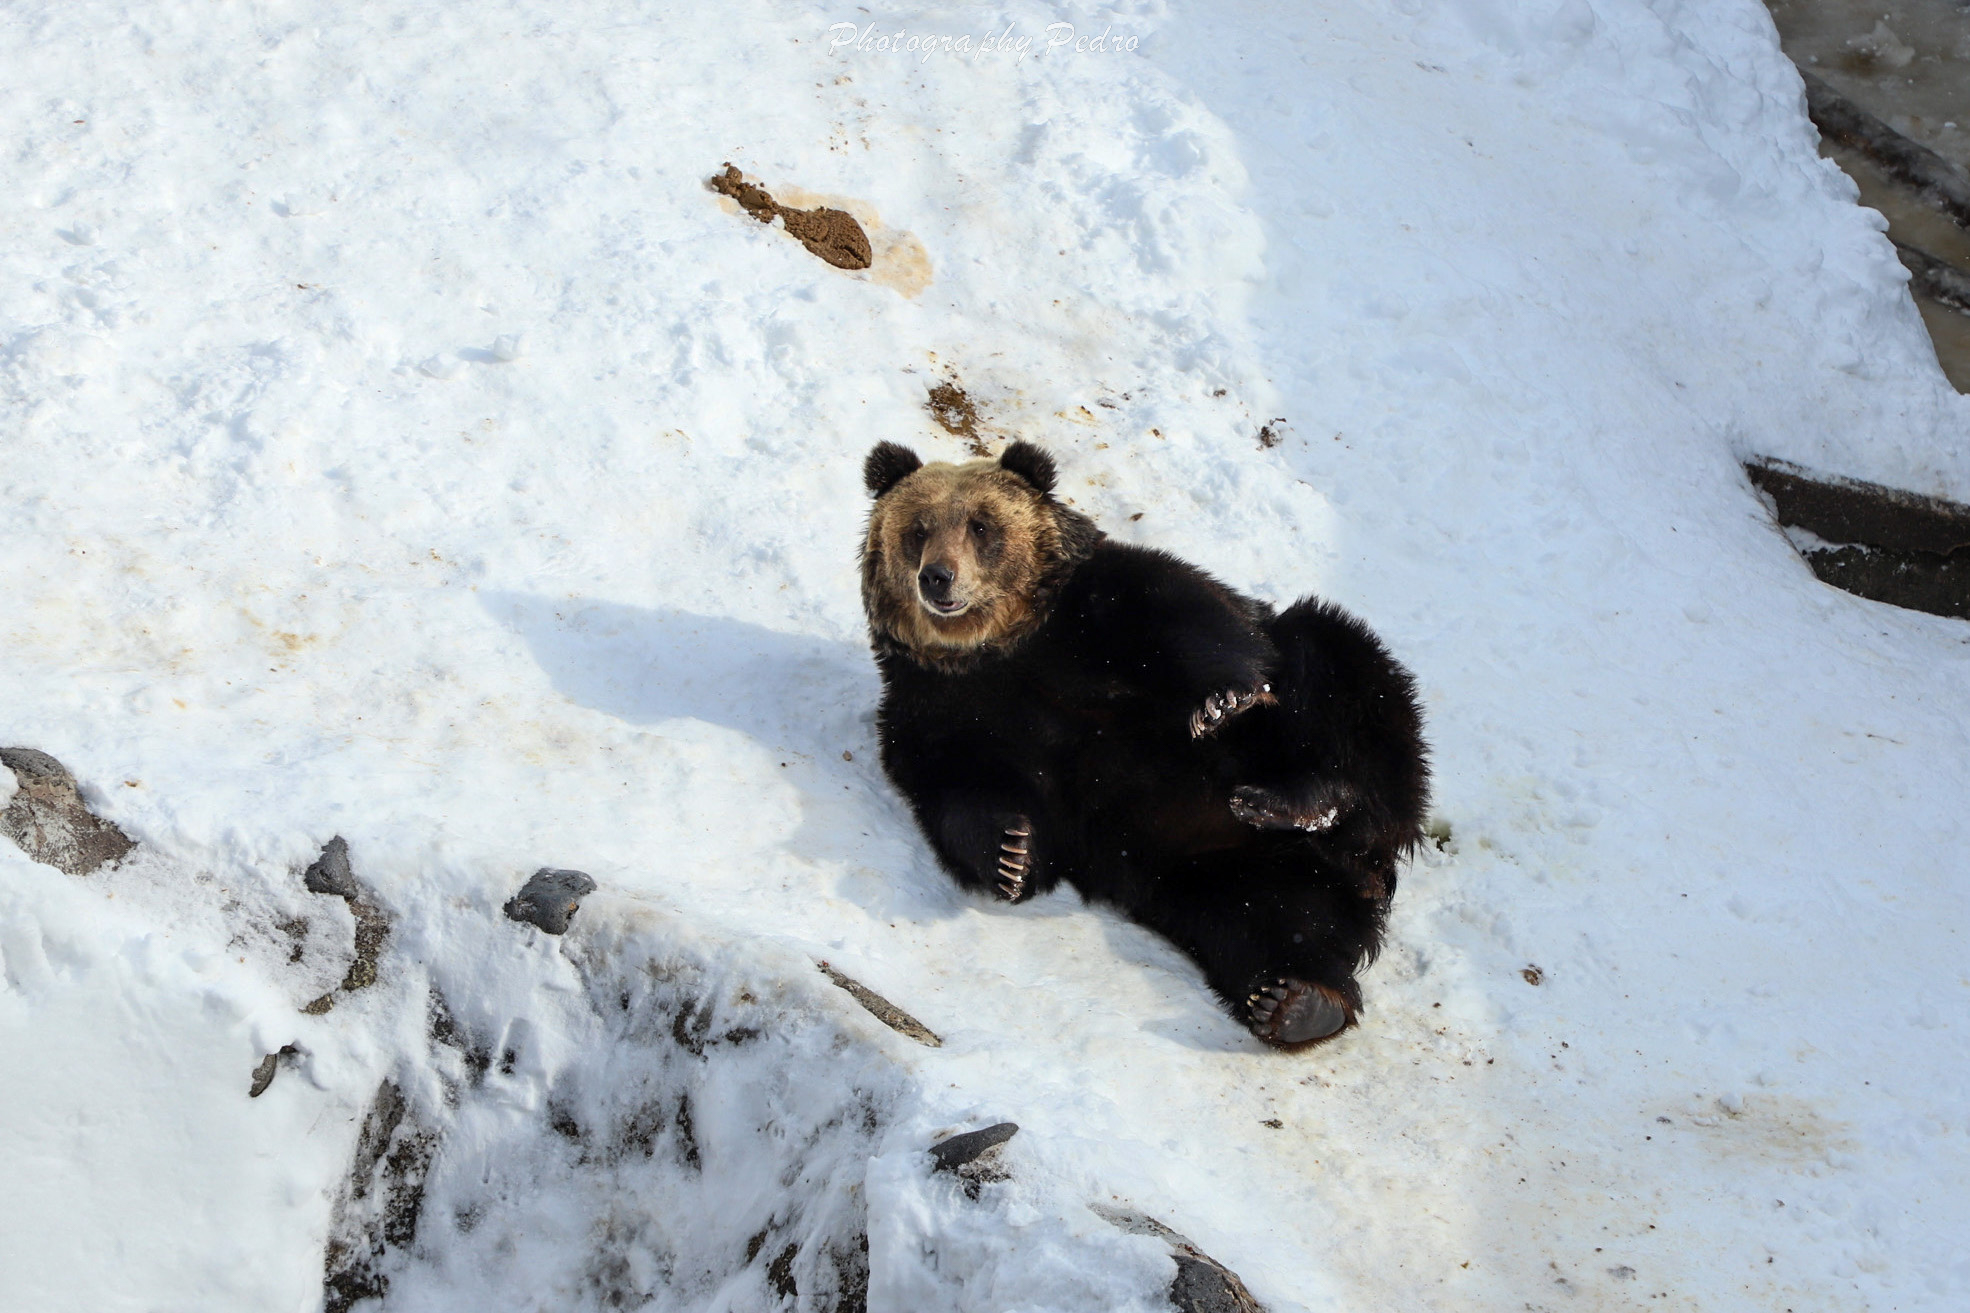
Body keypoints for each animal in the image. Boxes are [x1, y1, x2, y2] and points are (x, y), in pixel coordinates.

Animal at [862, 439, 1434, 1040]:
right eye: (918, 529)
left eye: (980, 525)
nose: (938, 577)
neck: (999, 647)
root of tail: (1364, 867)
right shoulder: (939, 707)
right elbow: (961, 783)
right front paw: (1009, 855)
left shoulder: (1102, 608)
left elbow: (1198, 628)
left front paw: (1223, 702)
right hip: (1231, 871)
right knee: (1276, 922)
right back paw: (1295, 1002)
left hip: (1327, 737)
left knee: (1340, 676)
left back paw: (1294, 800)